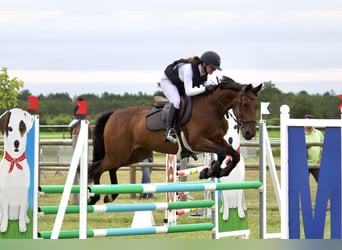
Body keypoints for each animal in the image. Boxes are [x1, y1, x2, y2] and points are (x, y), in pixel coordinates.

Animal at [87, 76, 262, 205]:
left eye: (256, 106)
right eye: (246, 105)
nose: (249, 133)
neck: (212, 108)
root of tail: (114, 113)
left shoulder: (217, 139)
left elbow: (235, 156)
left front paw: (217, 171)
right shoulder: (198, 142)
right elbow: (221, 153)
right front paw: (209, 171)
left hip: (132, 154)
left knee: (110, 168)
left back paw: (110, 195)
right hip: (118, 154)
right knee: (95, 169)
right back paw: (93, 197)